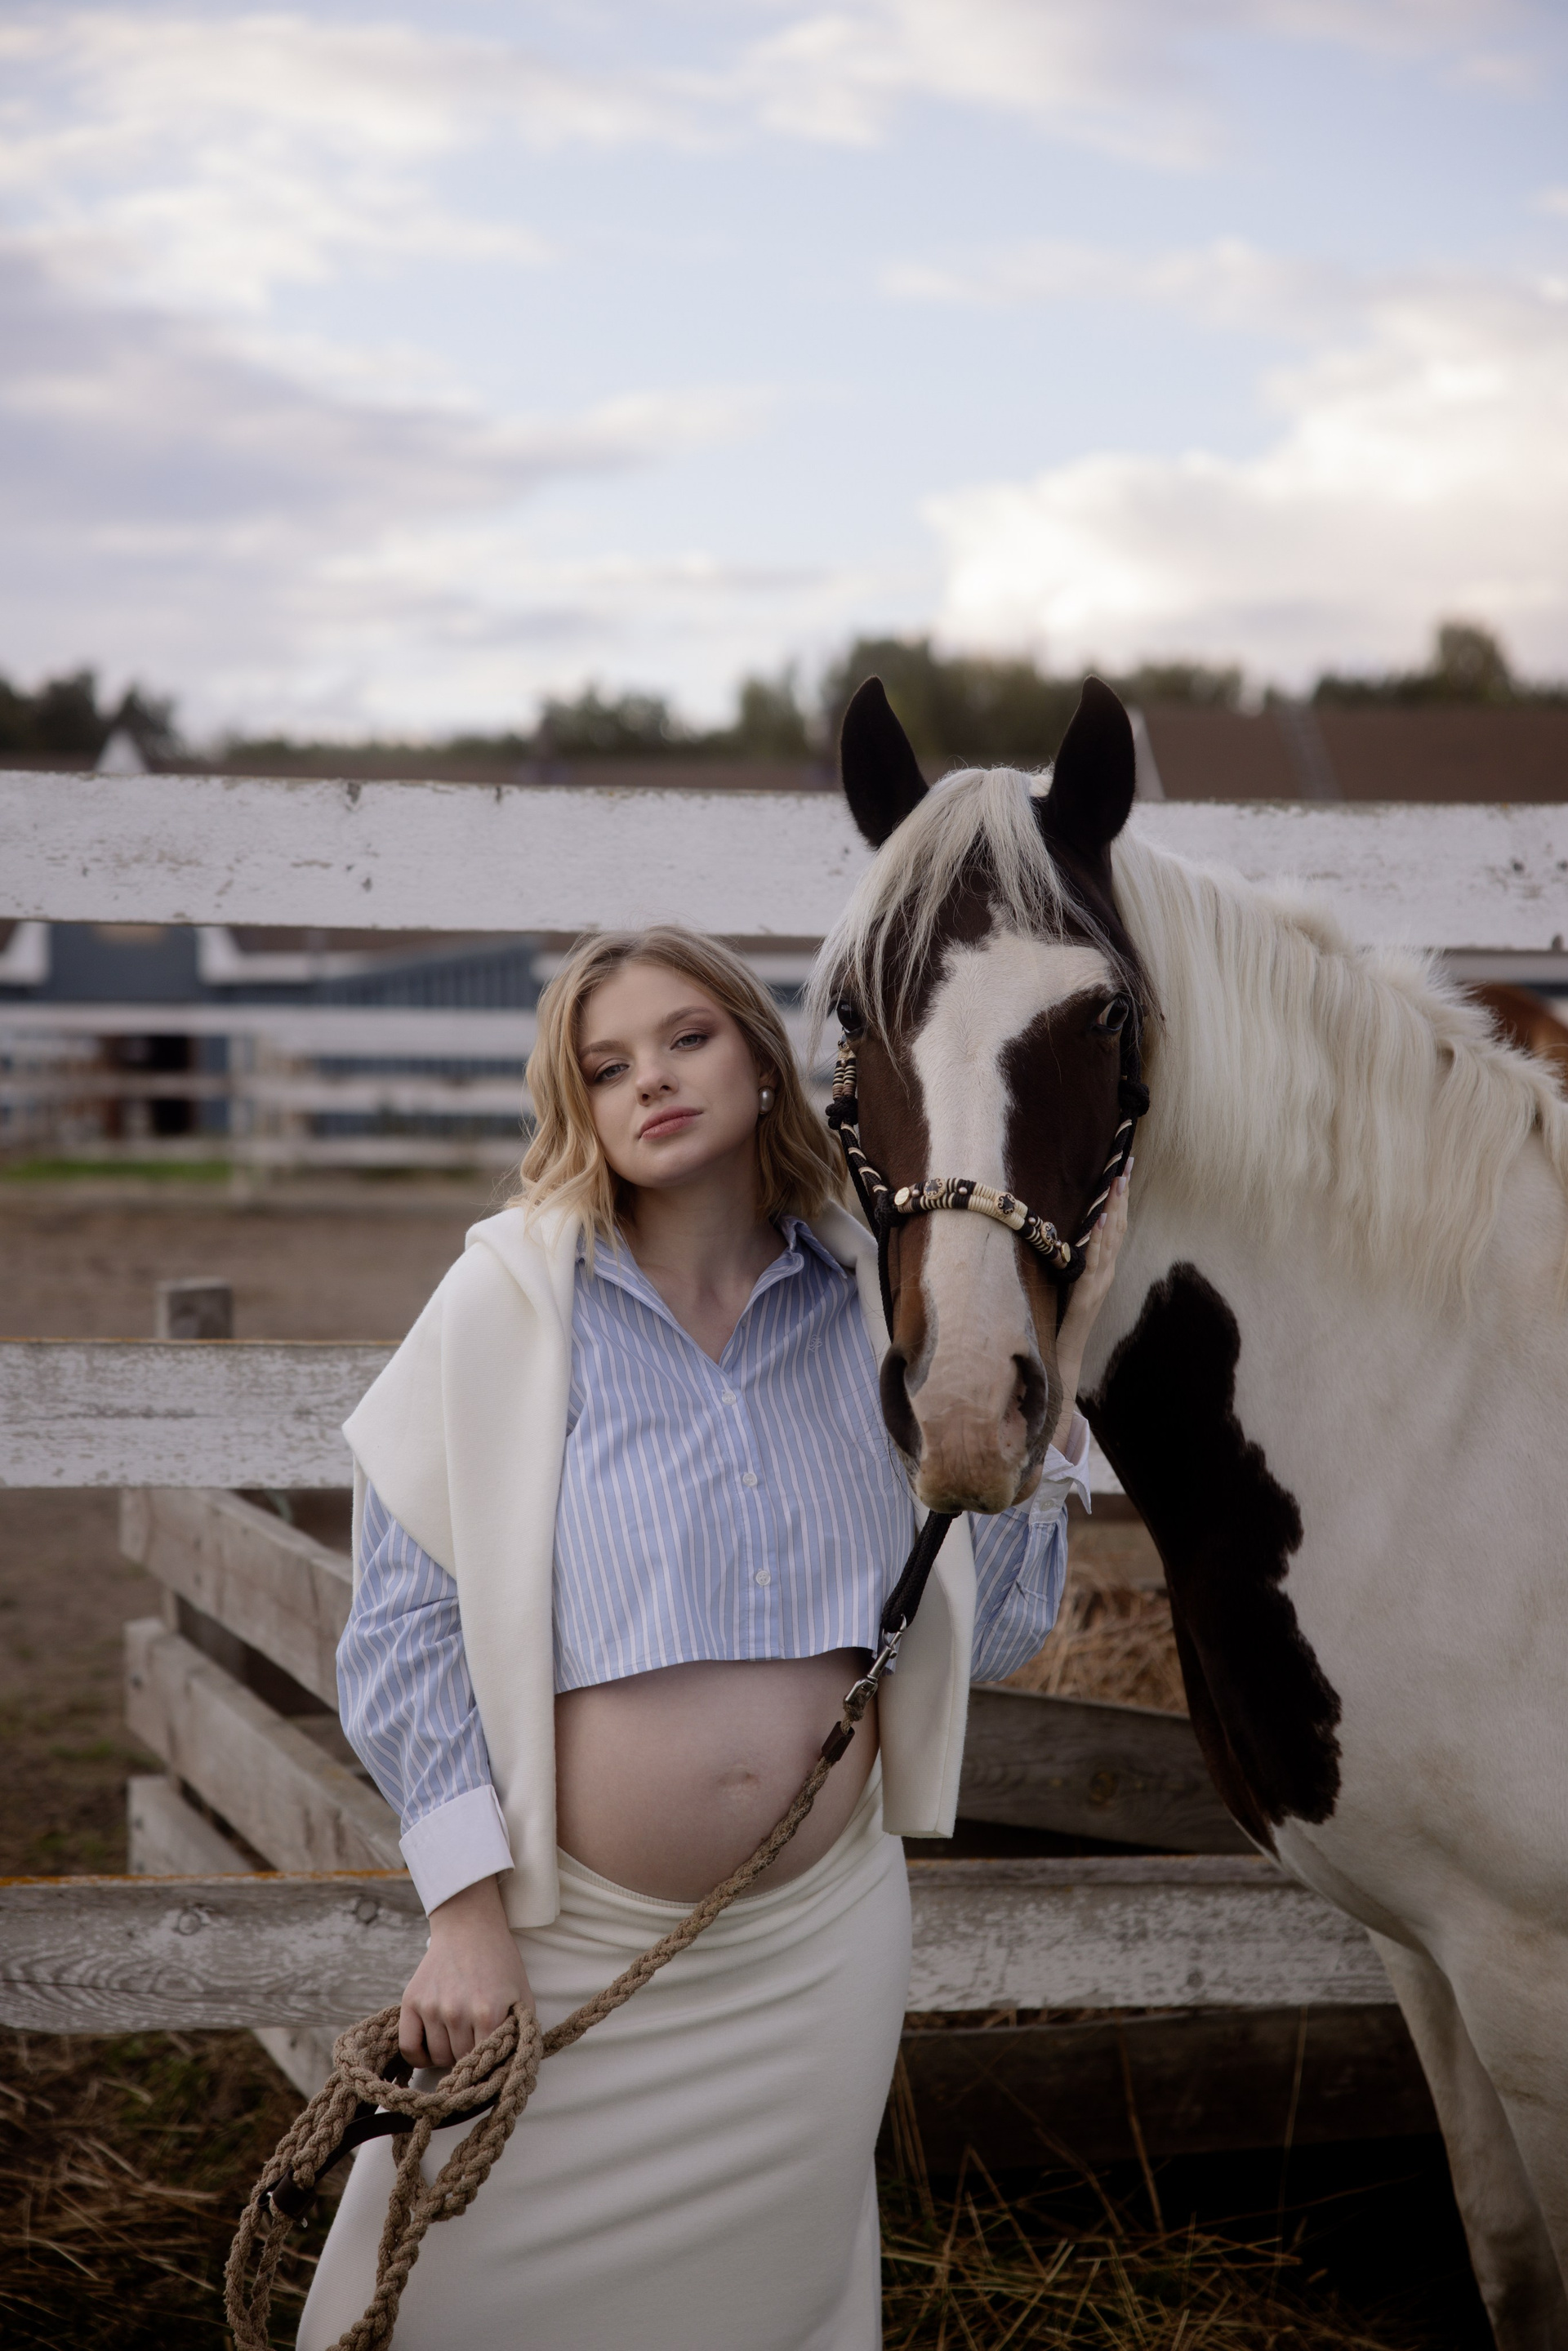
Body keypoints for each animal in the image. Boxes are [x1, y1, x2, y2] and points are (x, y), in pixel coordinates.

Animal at [811, 675, 1568, 2350]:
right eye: (850, 1016)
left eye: (1103, 1017)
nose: (968, 1402)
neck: (1450, 1411)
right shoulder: (1432, 1949)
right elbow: (1510, 2257)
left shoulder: (1532, 1966)